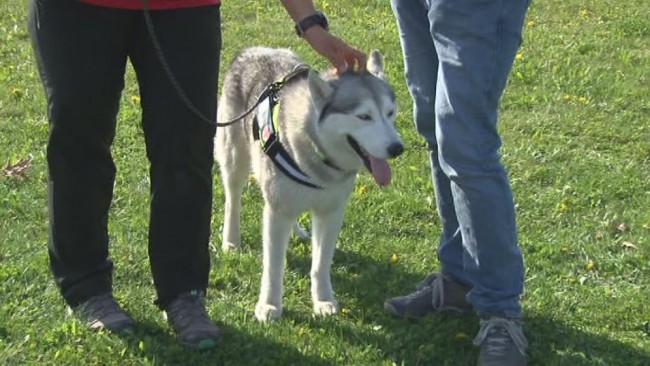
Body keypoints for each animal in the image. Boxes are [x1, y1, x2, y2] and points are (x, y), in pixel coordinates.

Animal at [215, 48, 402, 320]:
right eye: (364, 116)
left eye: (390, 113)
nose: (397, 148)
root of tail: (254, 49)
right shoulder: (277, 212)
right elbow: (274, 266)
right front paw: (269, 305)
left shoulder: (331, 213)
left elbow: (321, 263)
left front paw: (323, 300)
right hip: (234, 158)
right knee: (233, 198)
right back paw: (230, 240)